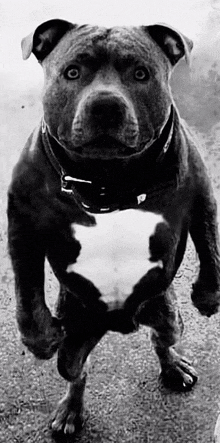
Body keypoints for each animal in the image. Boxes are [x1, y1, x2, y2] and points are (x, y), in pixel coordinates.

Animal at [6, 19, 220, 436]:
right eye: (72, 72)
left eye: (141, 74)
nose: (106, 105)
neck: (109, 179)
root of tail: (120, 324)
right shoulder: (21, 218)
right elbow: (27, 285)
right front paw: (39, 338)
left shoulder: (200, 192)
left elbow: (208, 242)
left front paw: (208, 296)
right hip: (75, 340)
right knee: (79, 371)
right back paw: (71, 410)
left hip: (167, 315)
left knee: (161, 339)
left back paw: (173, 366)